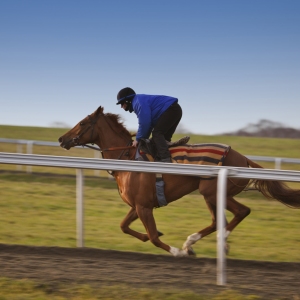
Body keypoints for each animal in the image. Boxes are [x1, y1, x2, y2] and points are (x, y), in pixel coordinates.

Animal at [58, 106, 300, 256]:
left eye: (82, 122)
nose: (61, 139)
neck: (127, 158)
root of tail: (244, 159)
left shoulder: (144, 206)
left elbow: (153, 236)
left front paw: (176, 252)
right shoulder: (139, 205)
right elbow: (124, 226)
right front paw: (162, 240)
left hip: (213, 192)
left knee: (241, 212)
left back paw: (216, 241)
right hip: (210, 195)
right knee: (217, 220)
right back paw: (192, 243)